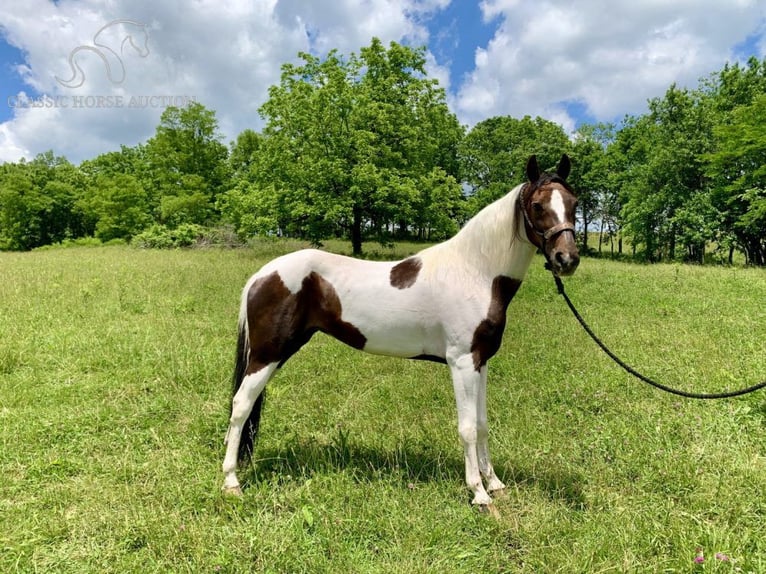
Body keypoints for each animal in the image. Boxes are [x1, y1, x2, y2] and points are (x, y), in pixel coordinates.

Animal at [224, 154, 584, 508]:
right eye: (537, 205)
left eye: (573, 203)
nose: (566, 259)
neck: (475, 272)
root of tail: (262, 274)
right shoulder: (461, 363)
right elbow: (467, 427)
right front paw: (479, 494)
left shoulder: (480, 362)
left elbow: (482, 425)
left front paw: (495, 484)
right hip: (268, 354)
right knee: (241, 404)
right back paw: (231, 483)